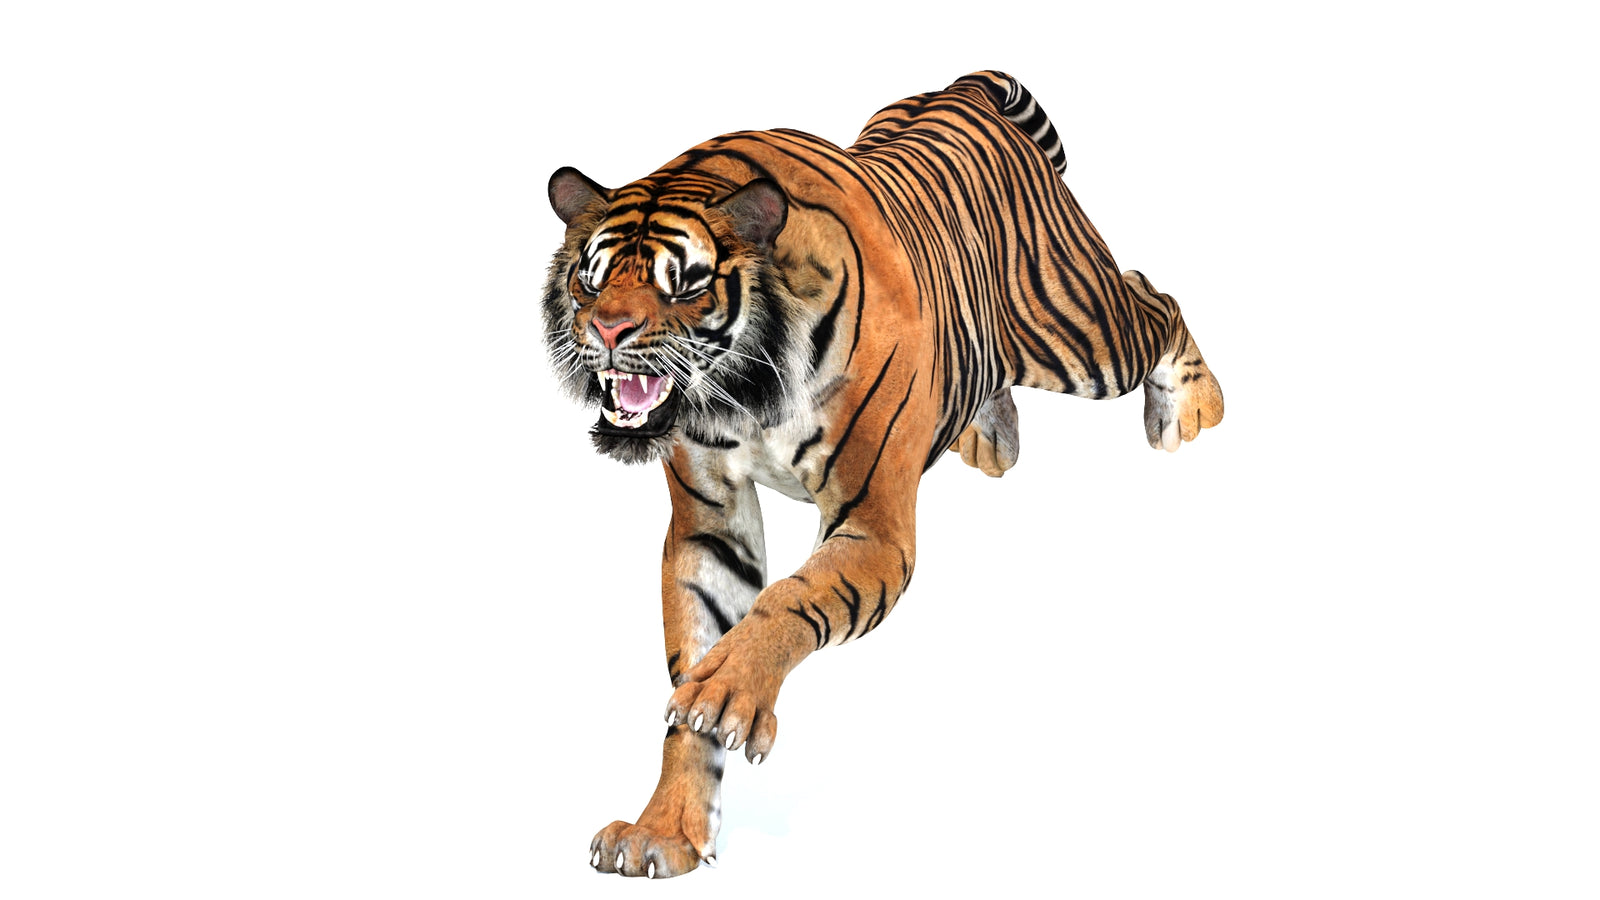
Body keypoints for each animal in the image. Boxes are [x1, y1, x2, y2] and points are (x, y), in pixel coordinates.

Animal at [541, 70, 1223, 878]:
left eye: (683, 286)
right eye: (591, 283)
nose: (606, 330)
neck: (746, 390)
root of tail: (967, 88)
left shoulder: (873, 523)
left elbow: (788, 600)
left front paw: (731, 695)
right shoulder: (710, 524)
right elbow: (697, 656)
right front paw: (665, 831)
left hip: (1076, 331)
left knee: (1154, 298)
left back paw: (1194, 409)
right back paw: (990, 438)